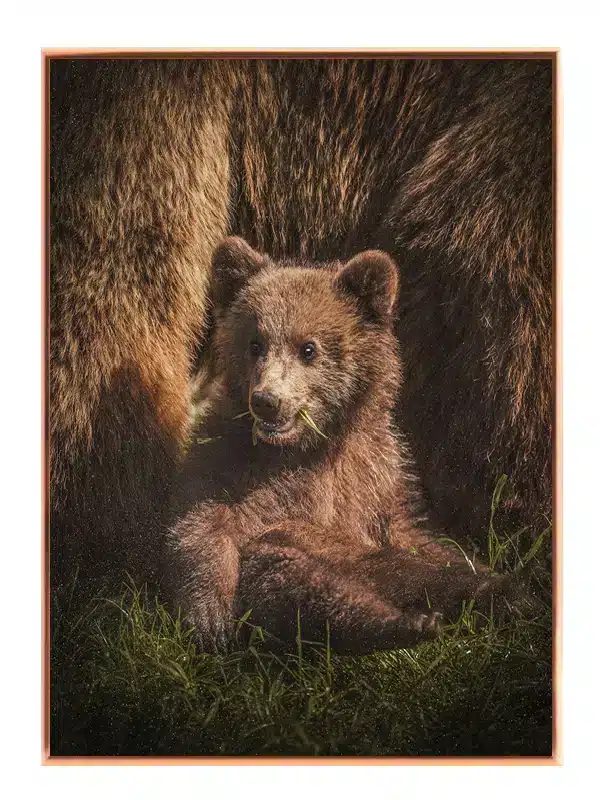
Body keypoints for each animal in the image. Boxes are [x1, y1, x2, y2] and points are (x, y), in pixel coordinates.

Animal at [163, 237, 510, 654]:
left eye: (308, 348)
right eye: (255, 343)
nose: (266, 400)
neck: (312, 444)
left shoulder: (378, 472)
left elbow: (417, 532)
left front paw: (487, 574)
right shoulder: (226, 456)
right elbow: (201, 518)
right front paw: (209, 616)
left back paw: (494, 593)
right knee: (297, 576)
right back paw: (404, 622)